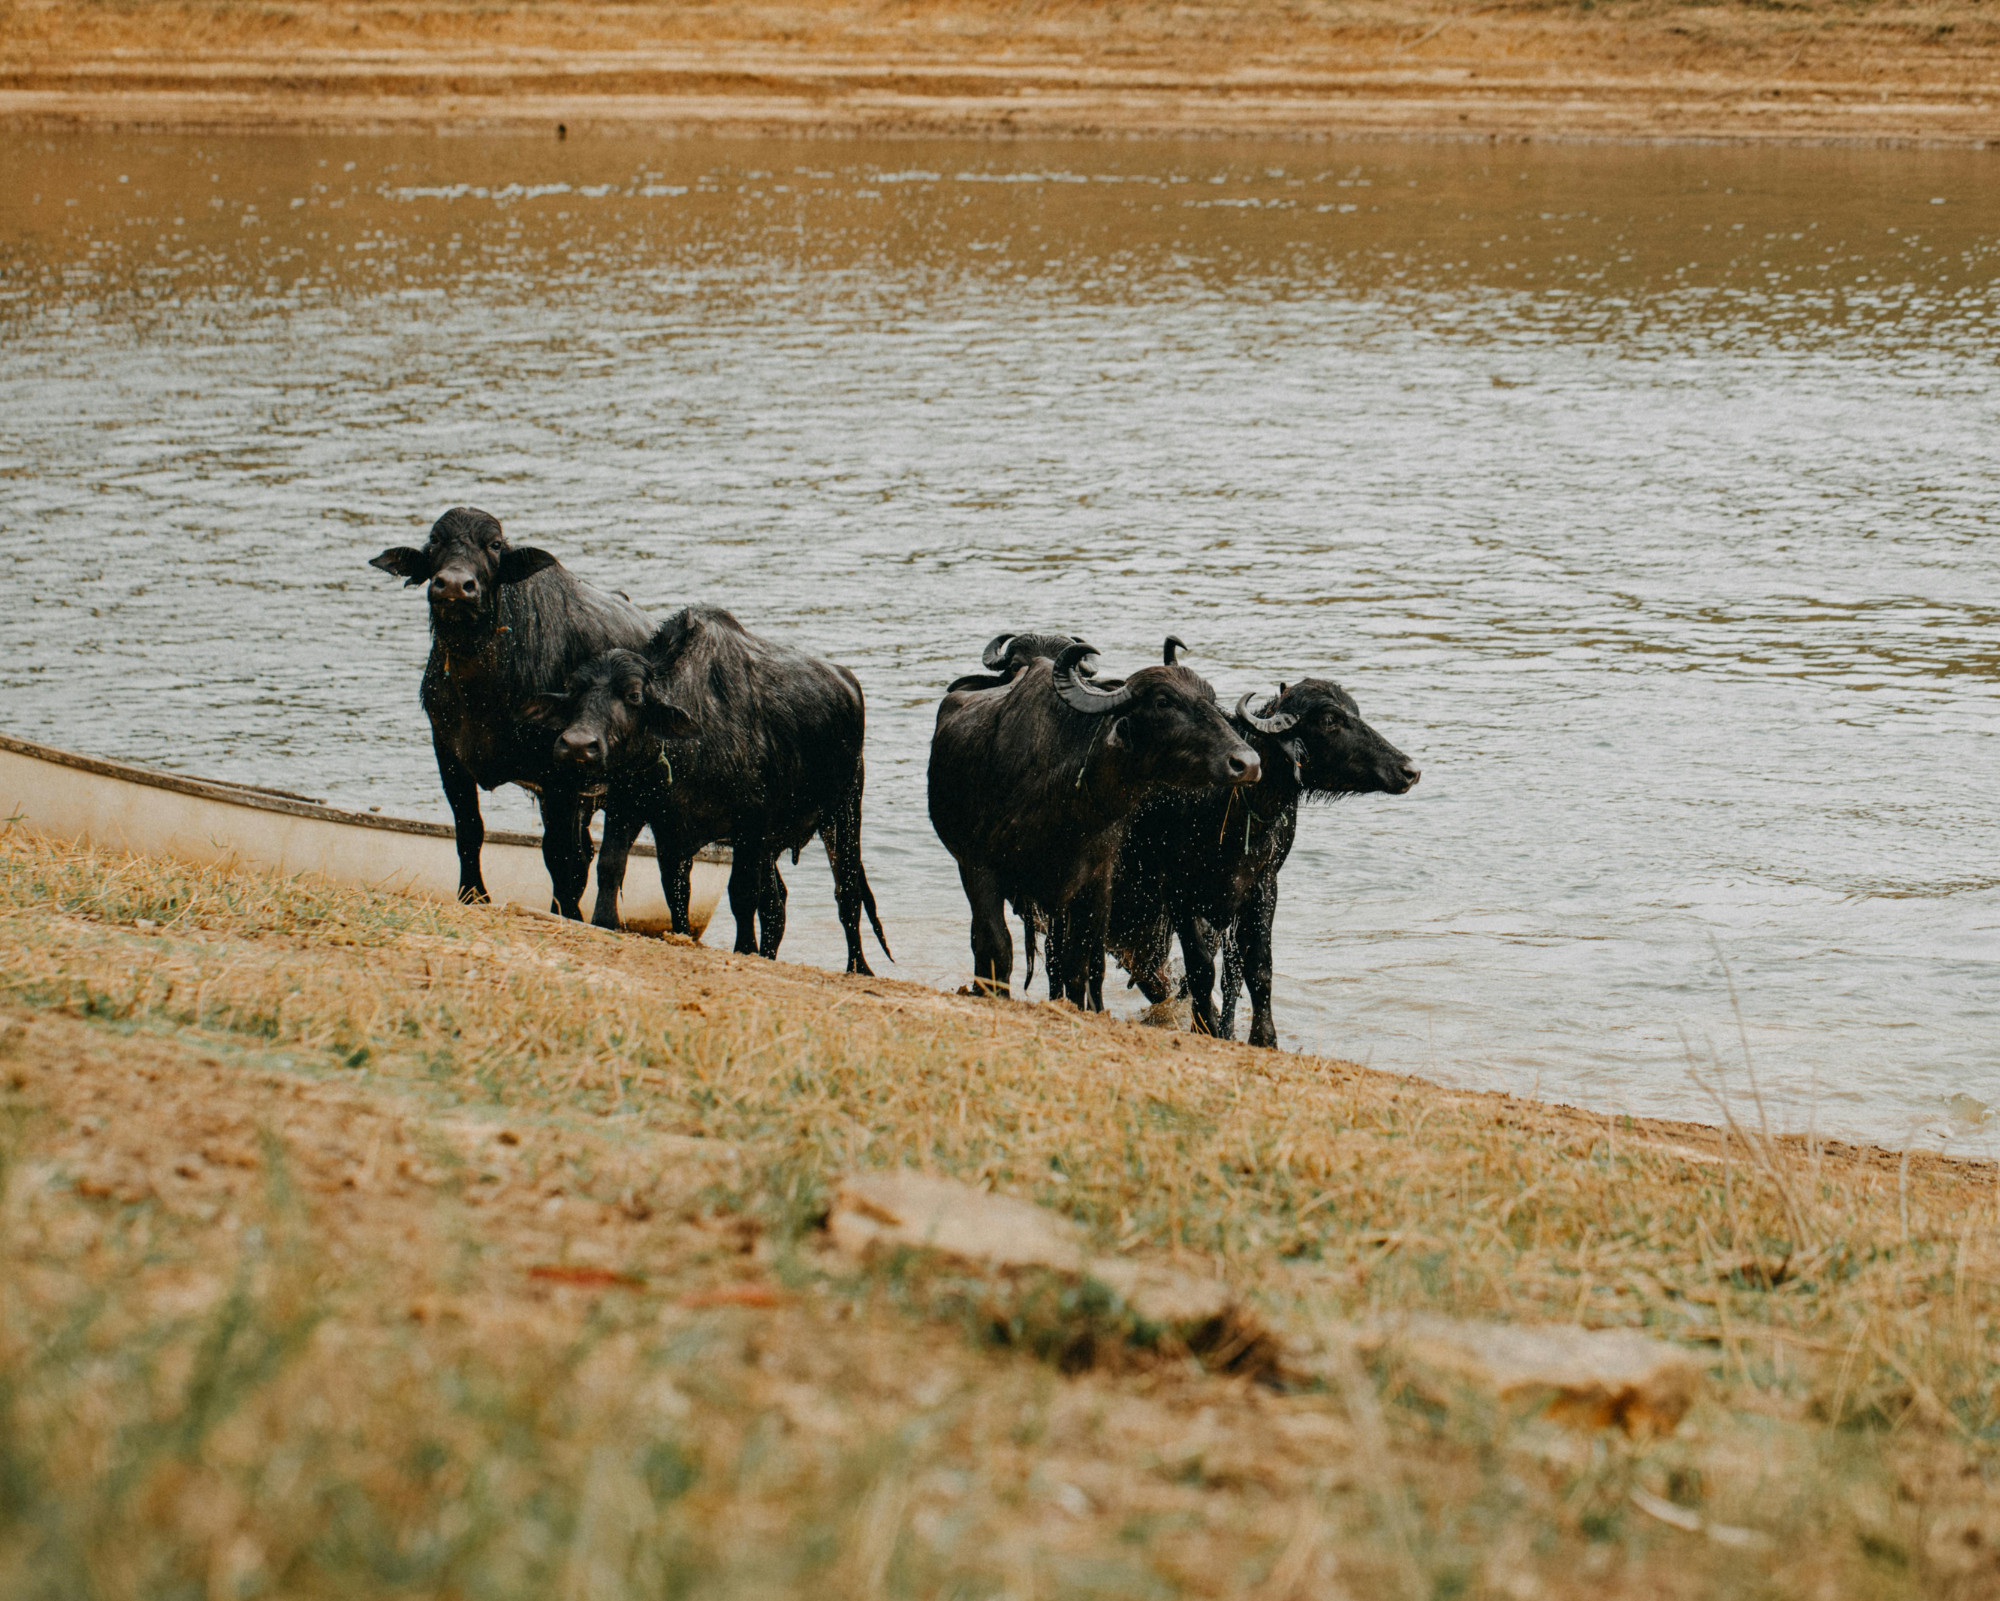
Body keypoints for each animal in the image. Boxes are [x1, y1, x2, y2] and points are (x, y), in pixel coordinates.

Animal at [369, 507, 654, 917]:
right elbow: (469, 829)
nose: (454, 585)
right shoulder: (448, 754)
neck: (481, 690)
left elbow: (560, 855)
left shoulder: (559, 776)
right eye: (435, 541)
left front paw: (566, 914)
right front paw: (473, 894)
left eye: (494, 545)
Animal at [522, 605, 891, 974]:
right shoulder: (642, 816)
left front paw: (744, 948)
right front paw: (618, 923)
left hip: (844, 811)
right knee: (777, 903)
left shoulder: (750, 827)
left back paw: (858, 967)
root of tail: (847, 682)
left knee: (847, 891)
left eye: (633, 696)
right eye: (574, 692)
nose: (577, 745)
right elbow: (639, 878)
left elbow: (741, 892)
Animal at [929, 642, 1260, 1007]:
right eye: (1163, 702)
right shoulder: (979, 869)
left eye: (1211, 700)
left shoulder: (1096, 882)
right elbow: (997, 947)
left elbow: (1081, 963)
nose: (1247, 763)